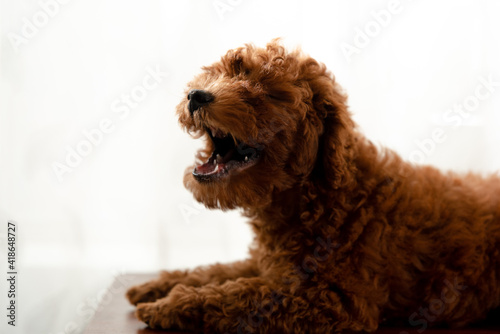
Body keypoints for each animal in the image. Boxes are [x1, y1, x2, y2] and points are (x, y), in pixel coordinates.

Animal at [126, 40, 500, 332]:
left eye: (267, 94)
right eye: (220, 74)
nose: (196, 95)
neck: (317, 196)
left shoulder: (332, 299)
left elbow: (245, 293)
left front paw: (171, 306)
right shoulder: (269, 263)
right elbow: (220, 270)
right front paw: (158, 286)